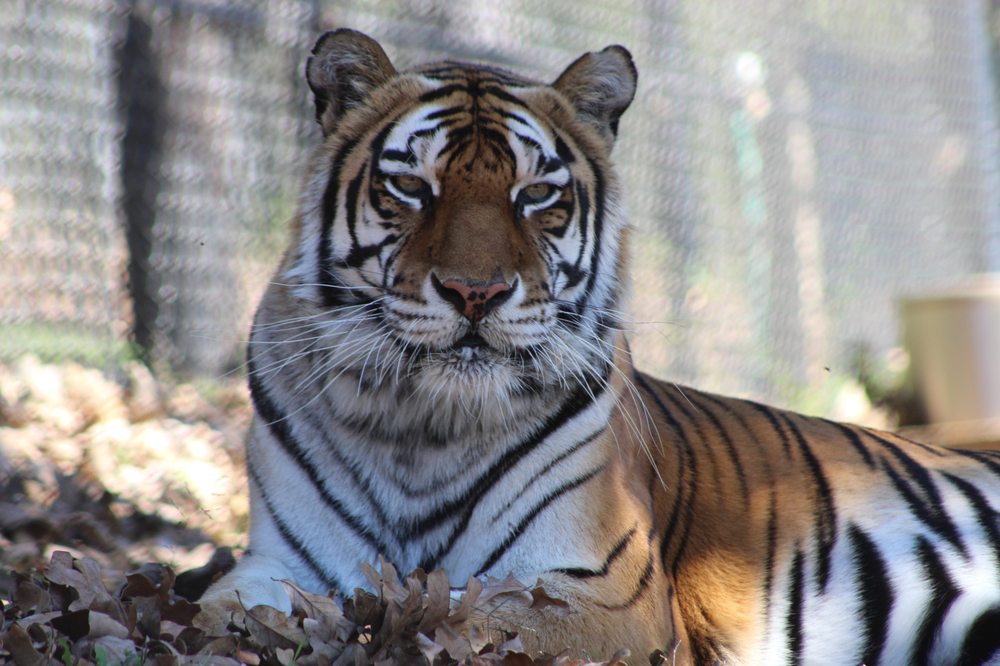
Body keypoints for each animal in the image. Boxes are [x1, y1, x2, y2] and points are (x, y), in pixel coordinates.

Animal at [196, 29, 1000, 665]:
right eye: (412, 187)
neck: (421, 430)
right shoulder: (275, 561)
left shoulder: (603, 594)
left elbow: (473, 612)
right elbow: (219, 608)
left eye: (535, 196)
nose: (475, 292)